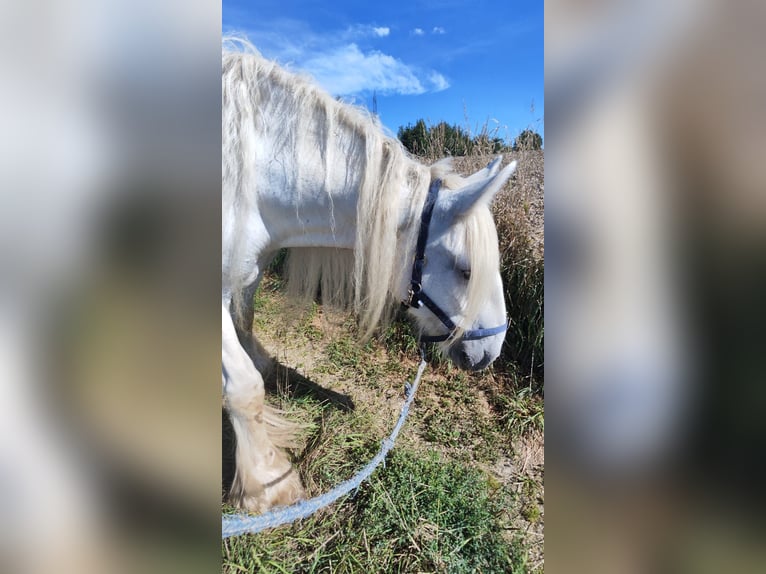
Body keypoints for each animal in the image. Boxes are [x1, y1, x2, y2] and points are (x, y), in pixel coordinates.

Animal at [222, 42, 516, 513]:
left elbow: (246, 328)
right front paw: (267, 483)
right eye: (467, 270)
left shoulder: (244, 272)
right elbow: (244, 387)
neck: (256, 177)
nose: (491, 351)